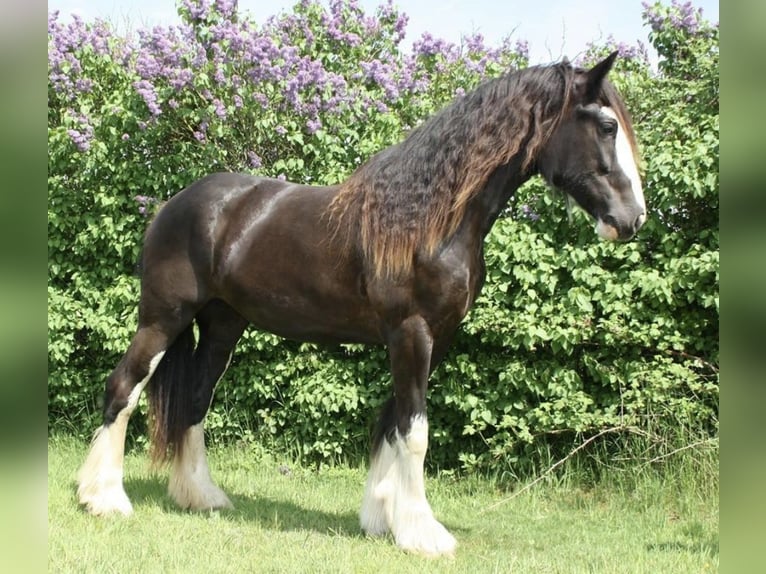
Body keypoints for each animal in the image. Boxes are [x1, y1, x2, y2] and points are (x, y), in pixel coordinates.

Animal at [76, 54, 648, 560]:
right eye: (605, 126)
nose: (633, 218)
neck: (429, 220)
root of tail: (175, 204)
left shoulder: (432, 338)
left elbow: (393, 422)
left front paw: (382, 519)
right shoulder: (411, 333)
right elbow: (415, 433)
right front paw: (423, 534)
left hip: (221, 327)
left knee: (195, 400)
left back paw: (201, 496)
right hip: (163, 318)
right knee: (123, 388)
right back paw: (102, 498)